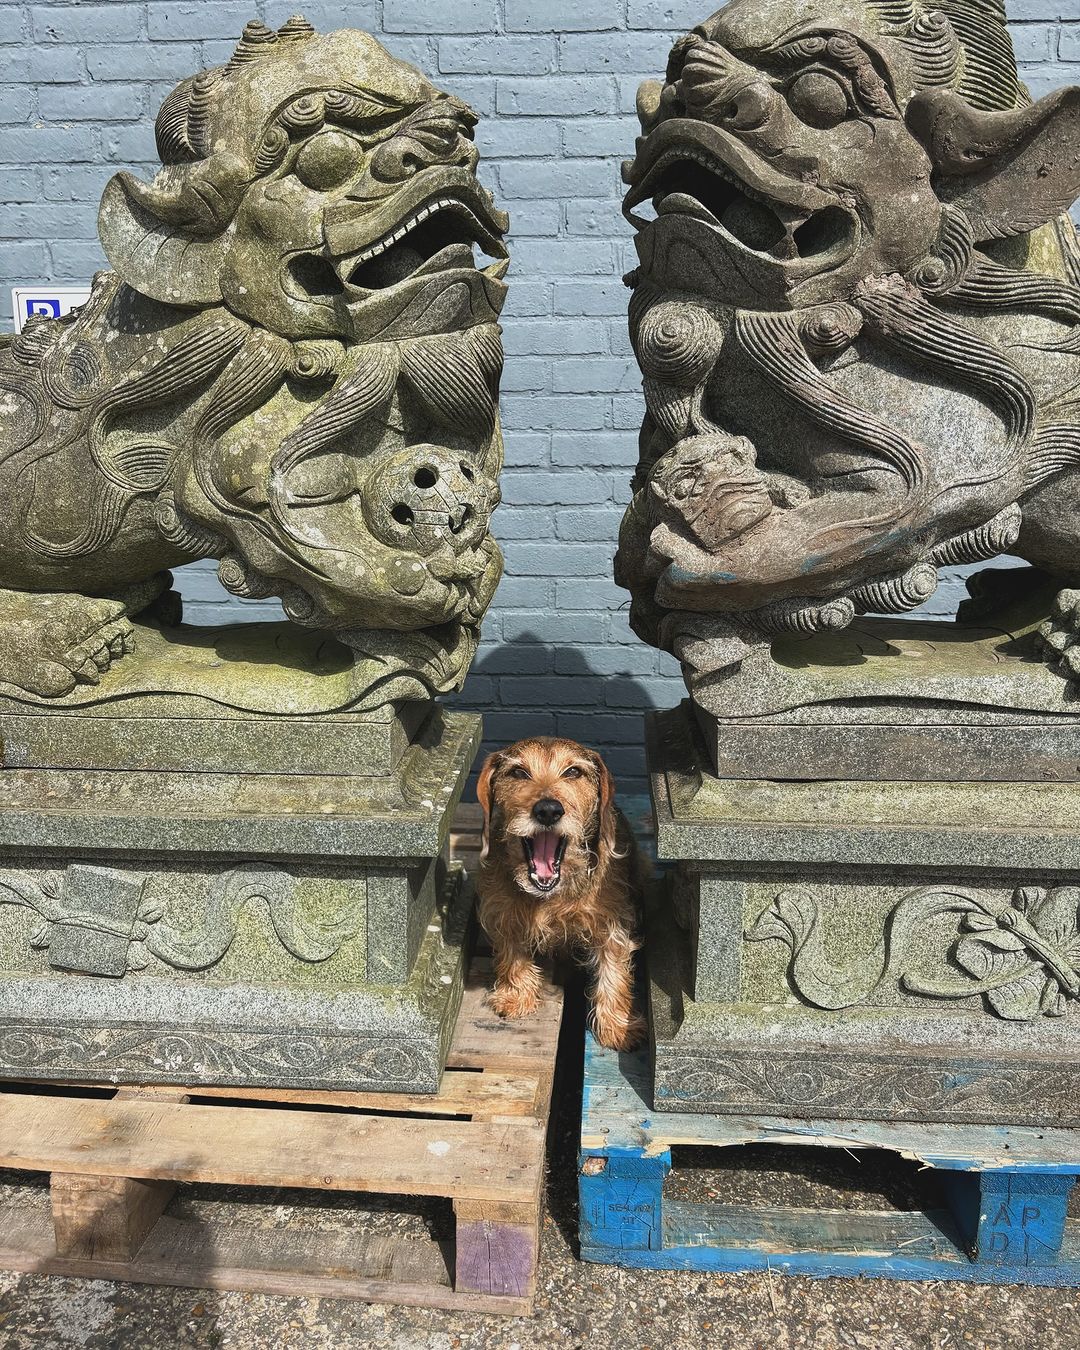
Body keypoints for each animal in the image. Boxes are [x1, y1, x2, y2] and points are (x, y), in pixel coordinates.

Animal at [477, 739, 645, 1053]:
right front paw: (516, 995)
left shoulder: (611, 923)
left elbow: (613, 971)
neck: (551, 895)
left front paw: (618, 1026)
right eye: (518, 772)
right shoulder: (503, 911)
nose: (547, 810)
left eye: (573, 772)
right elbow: (511, 950)